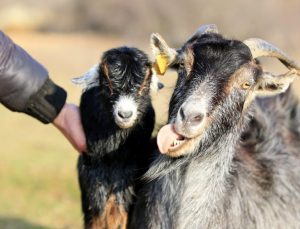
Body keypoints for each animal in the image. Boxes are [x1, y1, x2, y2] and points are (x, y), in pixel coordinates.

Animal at [73, 47, 161, 229]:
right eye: (108, 85)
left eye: (143, 88)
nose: (125, 115)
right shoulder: (92, 167)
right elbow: (97, 208)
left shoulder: (129, 169)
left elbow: (120, 207)